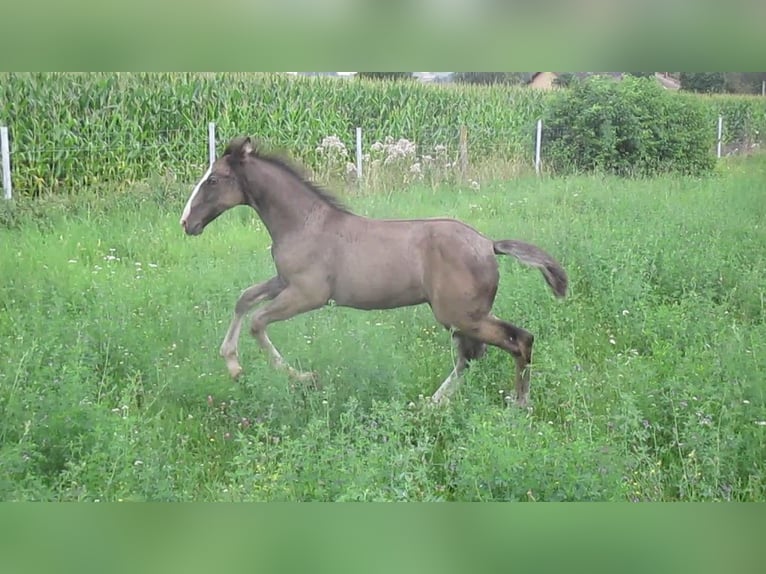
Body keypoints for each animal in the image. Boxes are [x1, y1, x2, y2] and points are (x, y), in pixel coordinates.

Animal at [178, 137, 564, 408]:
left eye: (213, 180)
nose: (186, 223)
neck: (304, 223)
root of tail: (488, 244)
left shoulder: (309, 294)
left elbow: (258, 322)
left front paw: (304, 378)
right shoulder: (284, 281)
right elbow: (244, 300)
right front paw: (233, 366)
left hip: (459, 315)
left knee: (517, 341)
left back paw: (519, 404)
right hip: (466, 315)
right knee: (472, 356)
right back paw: (433, 403)